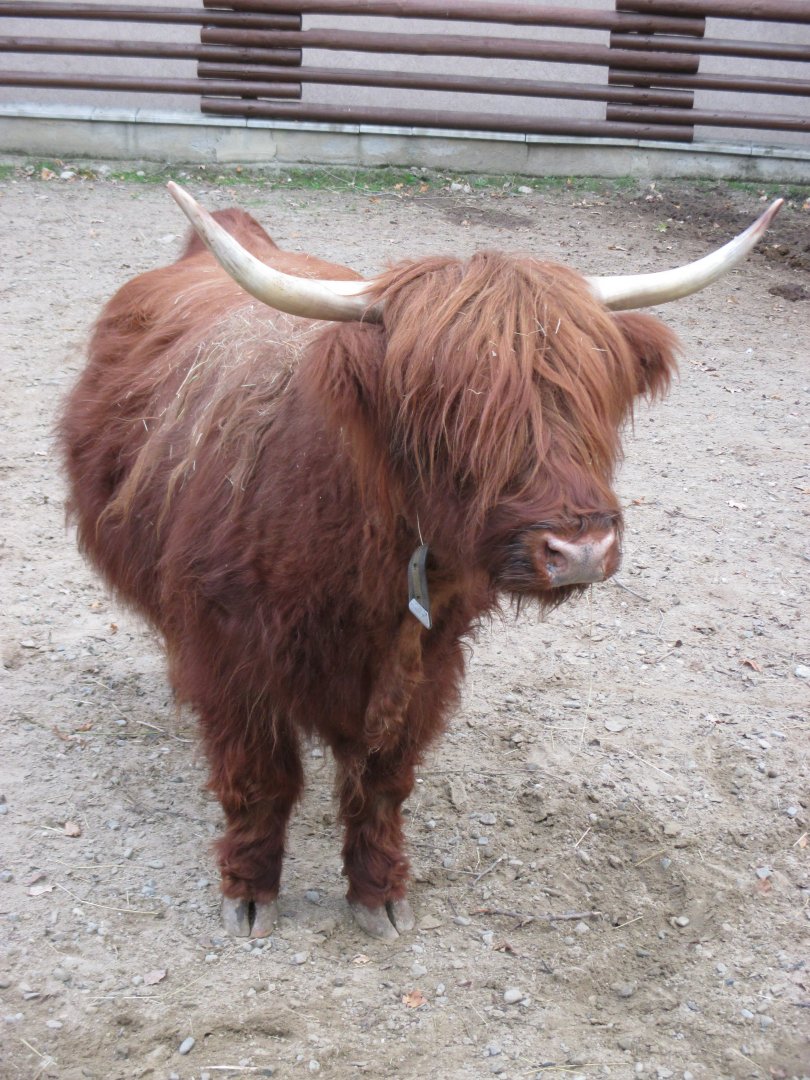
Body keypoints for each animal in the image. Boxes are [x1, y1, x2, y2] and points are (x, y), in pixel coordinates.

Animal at [59, 184, 781, 940]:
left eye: (594, 397)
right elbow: (260, 777)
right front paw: (250, 891)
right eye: (452, 407)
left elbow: (383, 779)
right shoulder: (229, 649)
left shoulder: (429, 654)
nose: (580, 550)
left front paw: (378, 892)